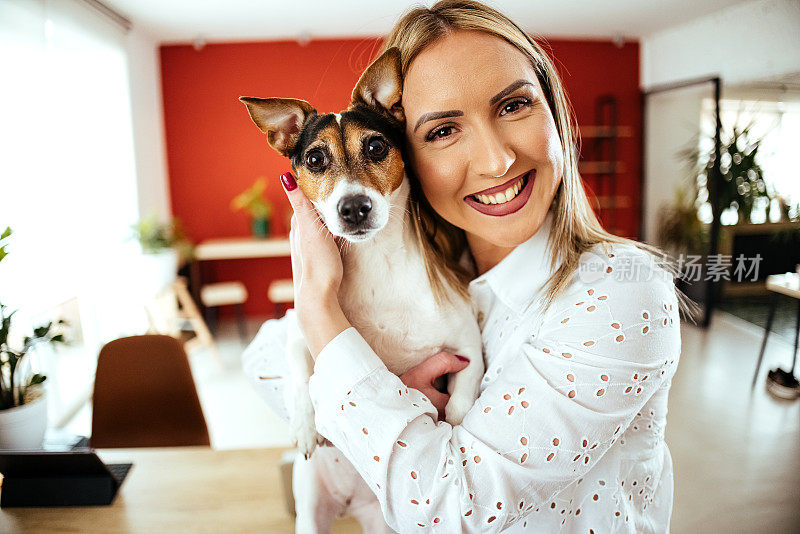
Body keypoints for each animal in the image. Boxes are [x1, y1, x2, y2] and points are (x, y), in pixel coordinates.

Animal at [241, 48, 484, 532]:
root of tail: (350, 504)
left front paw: (453, 420)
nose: (354, 207)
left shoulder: (468, 345)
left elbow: (462, 396)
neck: (377, 262)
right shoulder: (297, 329)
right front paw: (303, 426)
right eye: (315, 160)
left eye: (375, 147)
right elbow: (299, 374)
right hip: (310, 514)